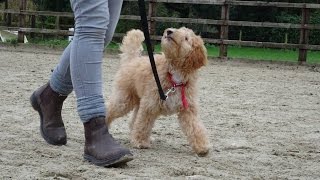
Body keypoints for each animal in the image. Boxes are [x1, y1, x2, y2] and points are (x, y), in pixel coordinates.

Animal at [106, 26, 209, 156]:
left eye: (186, 38)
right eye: (178, 29)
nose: (169, 31)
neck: (175, 75)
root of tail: (132, 60)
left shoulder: (188, 109)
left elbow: (195, 127)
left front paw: (202, 147)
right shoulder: (150, 105)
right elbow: (143, 124)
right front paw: (140, 142)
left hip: (139, 101)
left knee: (133, 120)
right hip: (124, 99)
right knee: (110, 109)